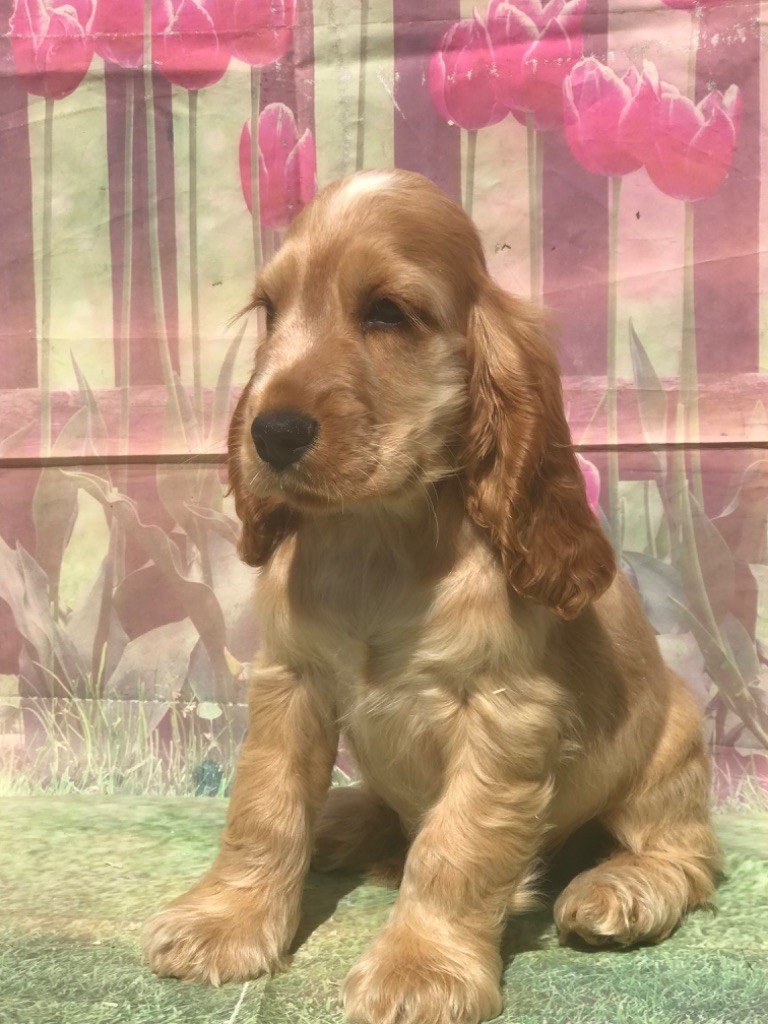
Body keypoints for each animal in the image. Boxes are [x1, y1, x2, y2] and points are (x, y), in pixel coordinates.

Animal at [142, 169, 721, 1024]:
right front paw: (226, 921)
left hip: (670, 752)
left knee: (686, 855)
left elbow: (456, 846)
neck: (379, 536)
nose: (270, 433)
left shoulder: (504, 713)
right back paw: (347, 821)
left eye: (387, 312)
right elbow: (263, 807)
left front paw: (421, 968)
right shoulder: (292, 683)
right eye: (272, 311)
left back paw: (618, 889)